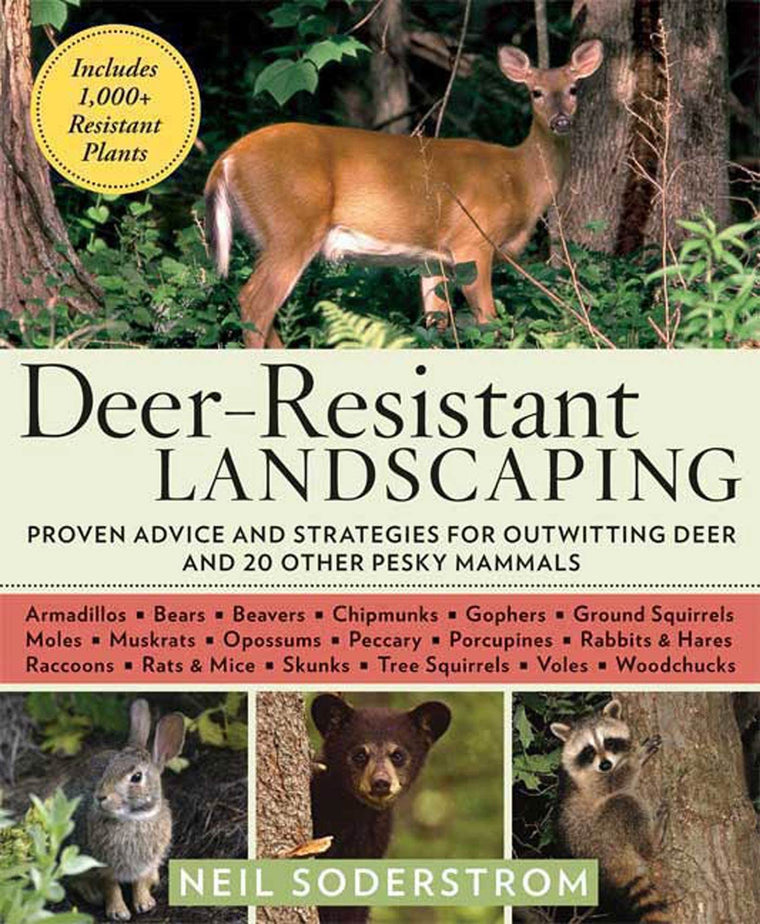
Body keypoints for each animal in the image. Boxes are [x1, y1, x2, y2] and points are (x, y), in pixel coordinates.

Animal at [204, 40, 603, 348]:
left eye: (573, 89)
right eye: (536, 92)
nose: (561, 121)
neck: (518, 177)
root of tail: (227, 158)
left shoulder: (433, 258)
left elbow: (436, 325)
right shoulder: (472, 241)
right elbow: (489, 322)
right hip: (291, 227)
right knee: (255, 303)